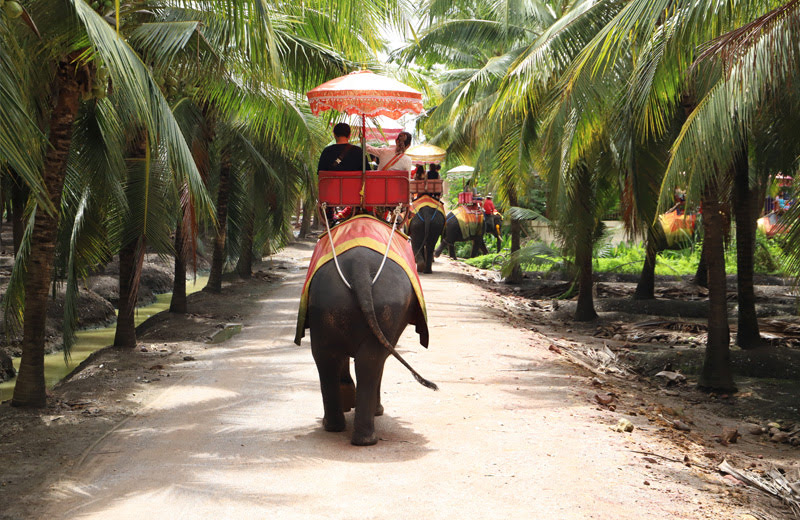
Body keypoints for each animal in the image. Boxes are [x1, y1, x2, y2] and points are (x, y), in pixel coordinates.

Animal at [296, 215, 438, 446]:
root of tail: (359, 265)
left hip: (327, 302)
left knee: (329, 356)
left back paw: (337, 427)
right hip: (382, 304)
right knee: (370, 359)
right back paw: (365, 434)